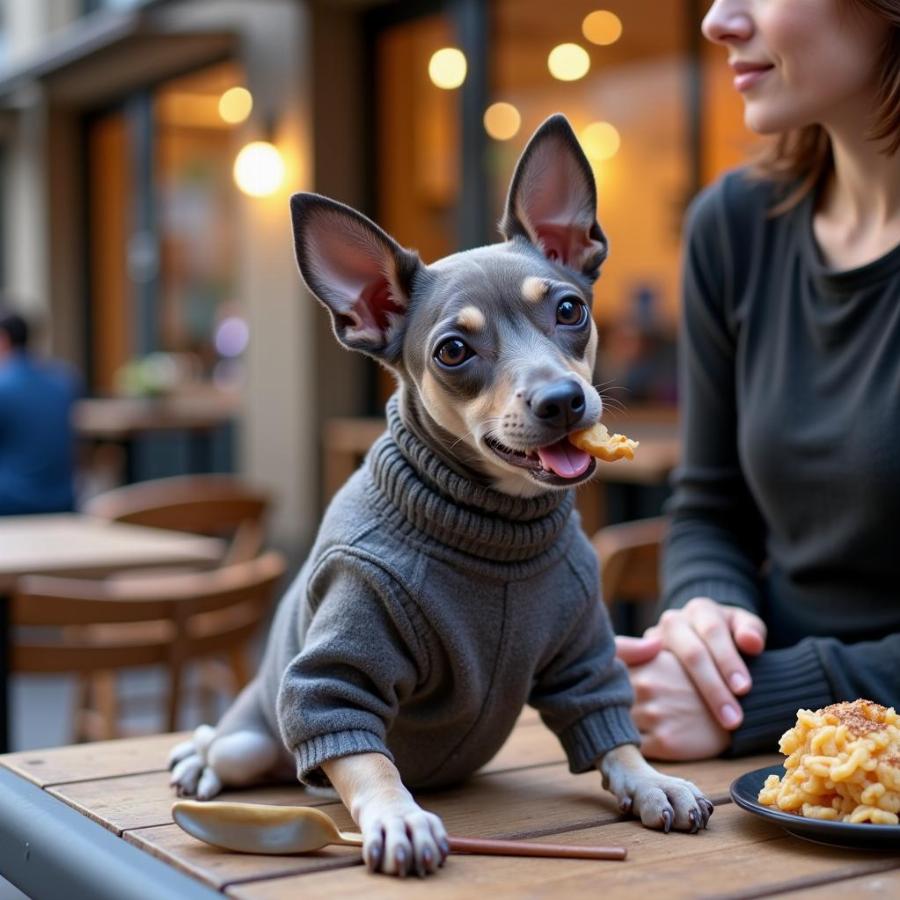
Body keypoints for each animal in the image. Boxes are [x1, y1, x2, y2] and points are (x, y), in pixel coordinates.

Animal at [171, 112, 712, 880]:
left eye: (570, 309)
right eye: (454, 351)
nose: (562, 400)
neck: (495, 525)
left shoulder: (583, 651)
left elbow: (612, 729)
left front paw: (651, 781)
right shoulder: (338, 667)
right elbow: (364, 754)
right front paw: (398, 817)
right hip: (256, 738)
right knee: (229, 746)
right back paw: (198, 760)